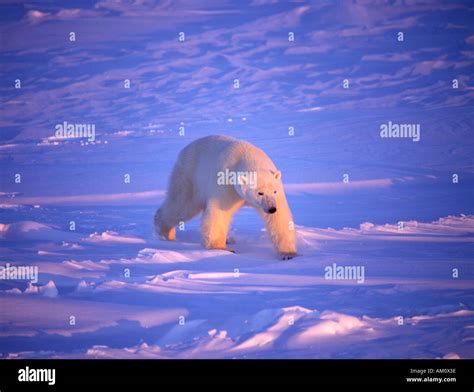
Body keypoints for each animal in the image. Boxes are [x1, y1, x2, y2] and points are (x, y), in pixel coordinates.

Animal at [155, 136, 296, 260]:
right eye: (260, 193)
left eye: (274, 191)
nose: (272, 208)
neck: (246, 156)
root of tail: (184, 149)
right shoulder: (225, 183)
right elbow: (219, 213)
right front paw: (220, 249)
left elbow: (279, 218)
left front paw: (288, 253)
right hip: (189, 176)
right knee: (182, 204)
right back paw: (165, 233)